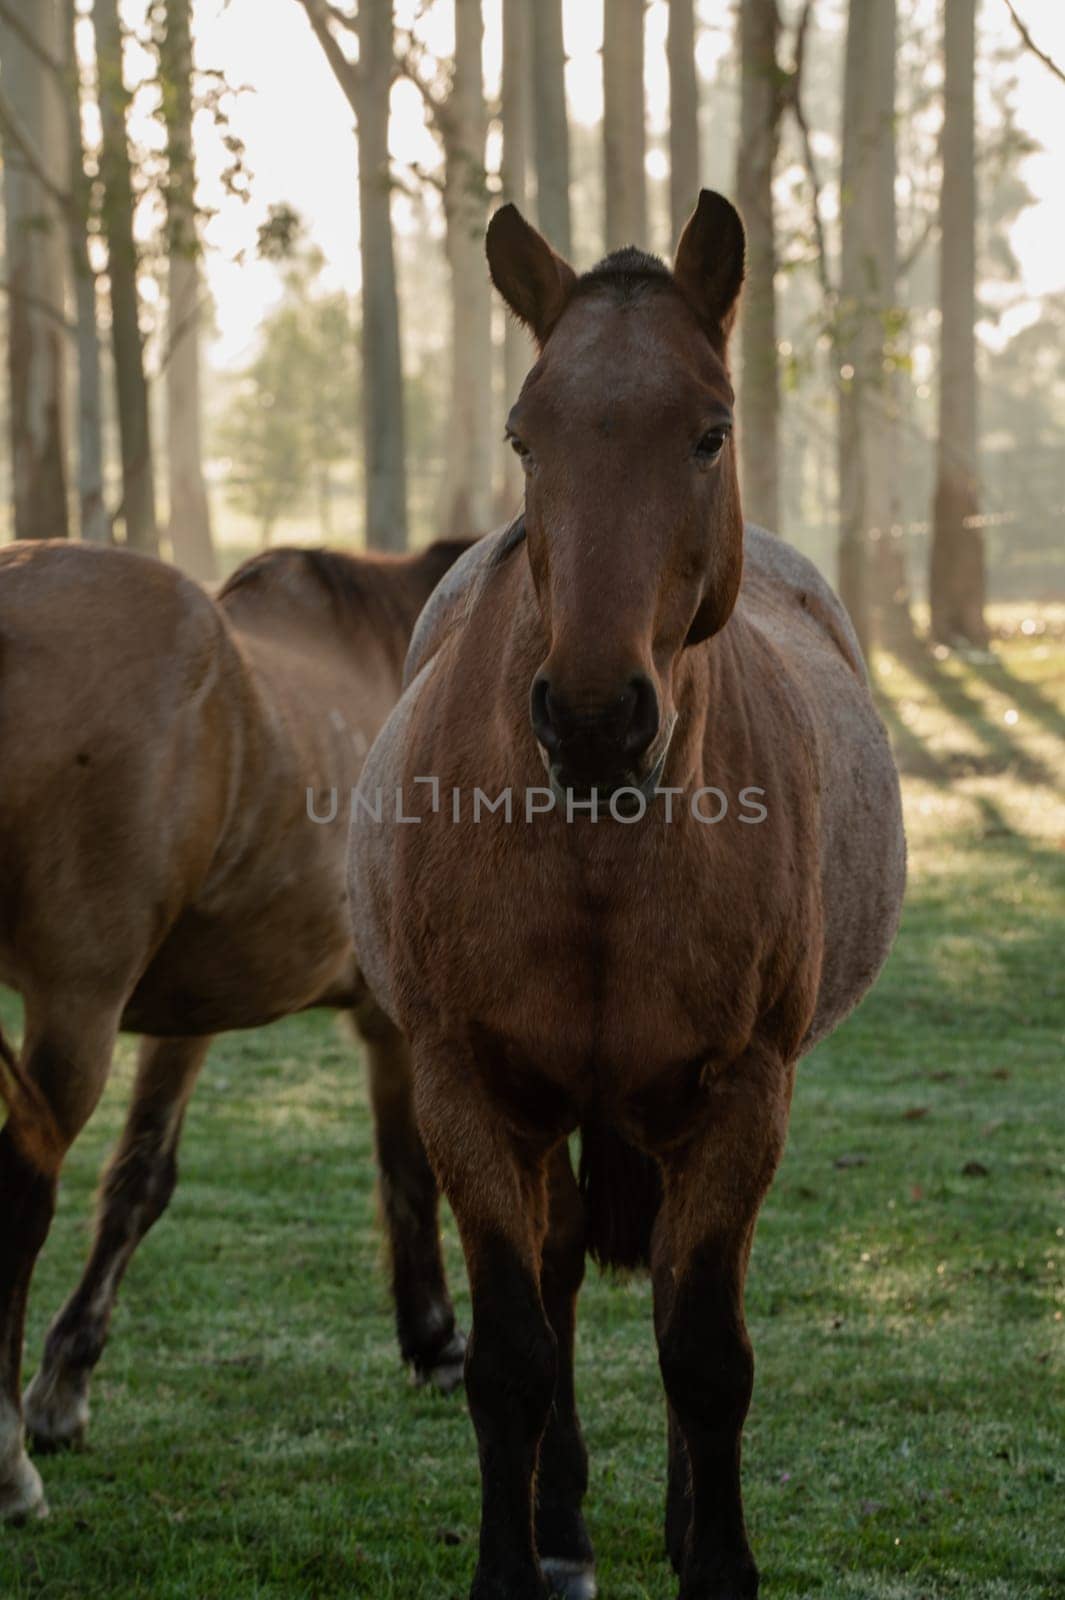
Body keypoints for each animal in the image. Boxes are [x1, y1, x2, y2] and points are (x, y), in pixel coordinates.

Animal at [0, 531, 470, 1516]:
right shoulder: (397, 1018)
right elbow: (413, 1171)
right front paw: (438, 1340)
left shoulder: (188, 1017)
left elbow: (139, 1183)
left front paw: (64, 1390)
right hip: (72, 1012)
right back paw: (6, 1468)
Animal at [348, 190, 901, 1600]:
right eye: (523, 436)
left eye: (709, 430)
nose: (596, 720)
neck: (596, 857)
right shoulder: (463, 1087)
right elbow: (511, 1356)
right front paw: (516, 1558)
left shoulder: (743, 1094)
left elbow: (705, 1351)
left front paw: (719, 1561)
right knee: (555, 1282)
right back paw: (565, 1524)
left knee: (674, 1291)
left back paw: (674, 1513)